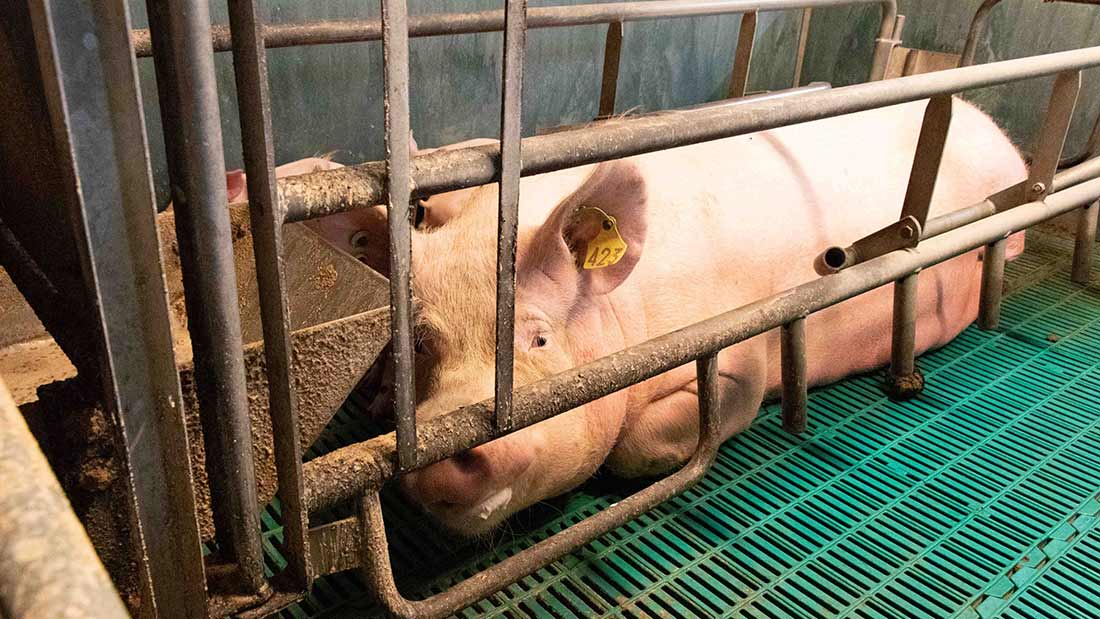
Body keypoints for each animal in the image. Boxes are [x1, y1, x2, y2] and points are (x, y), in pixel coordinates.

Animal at [329, 100, 1028, 537]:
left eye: (539, 337)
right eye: (422, 345)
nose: (444, 455)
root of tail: (986, 124)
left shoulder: (739, 353)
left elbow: (647, 439)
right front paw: (375, 402)